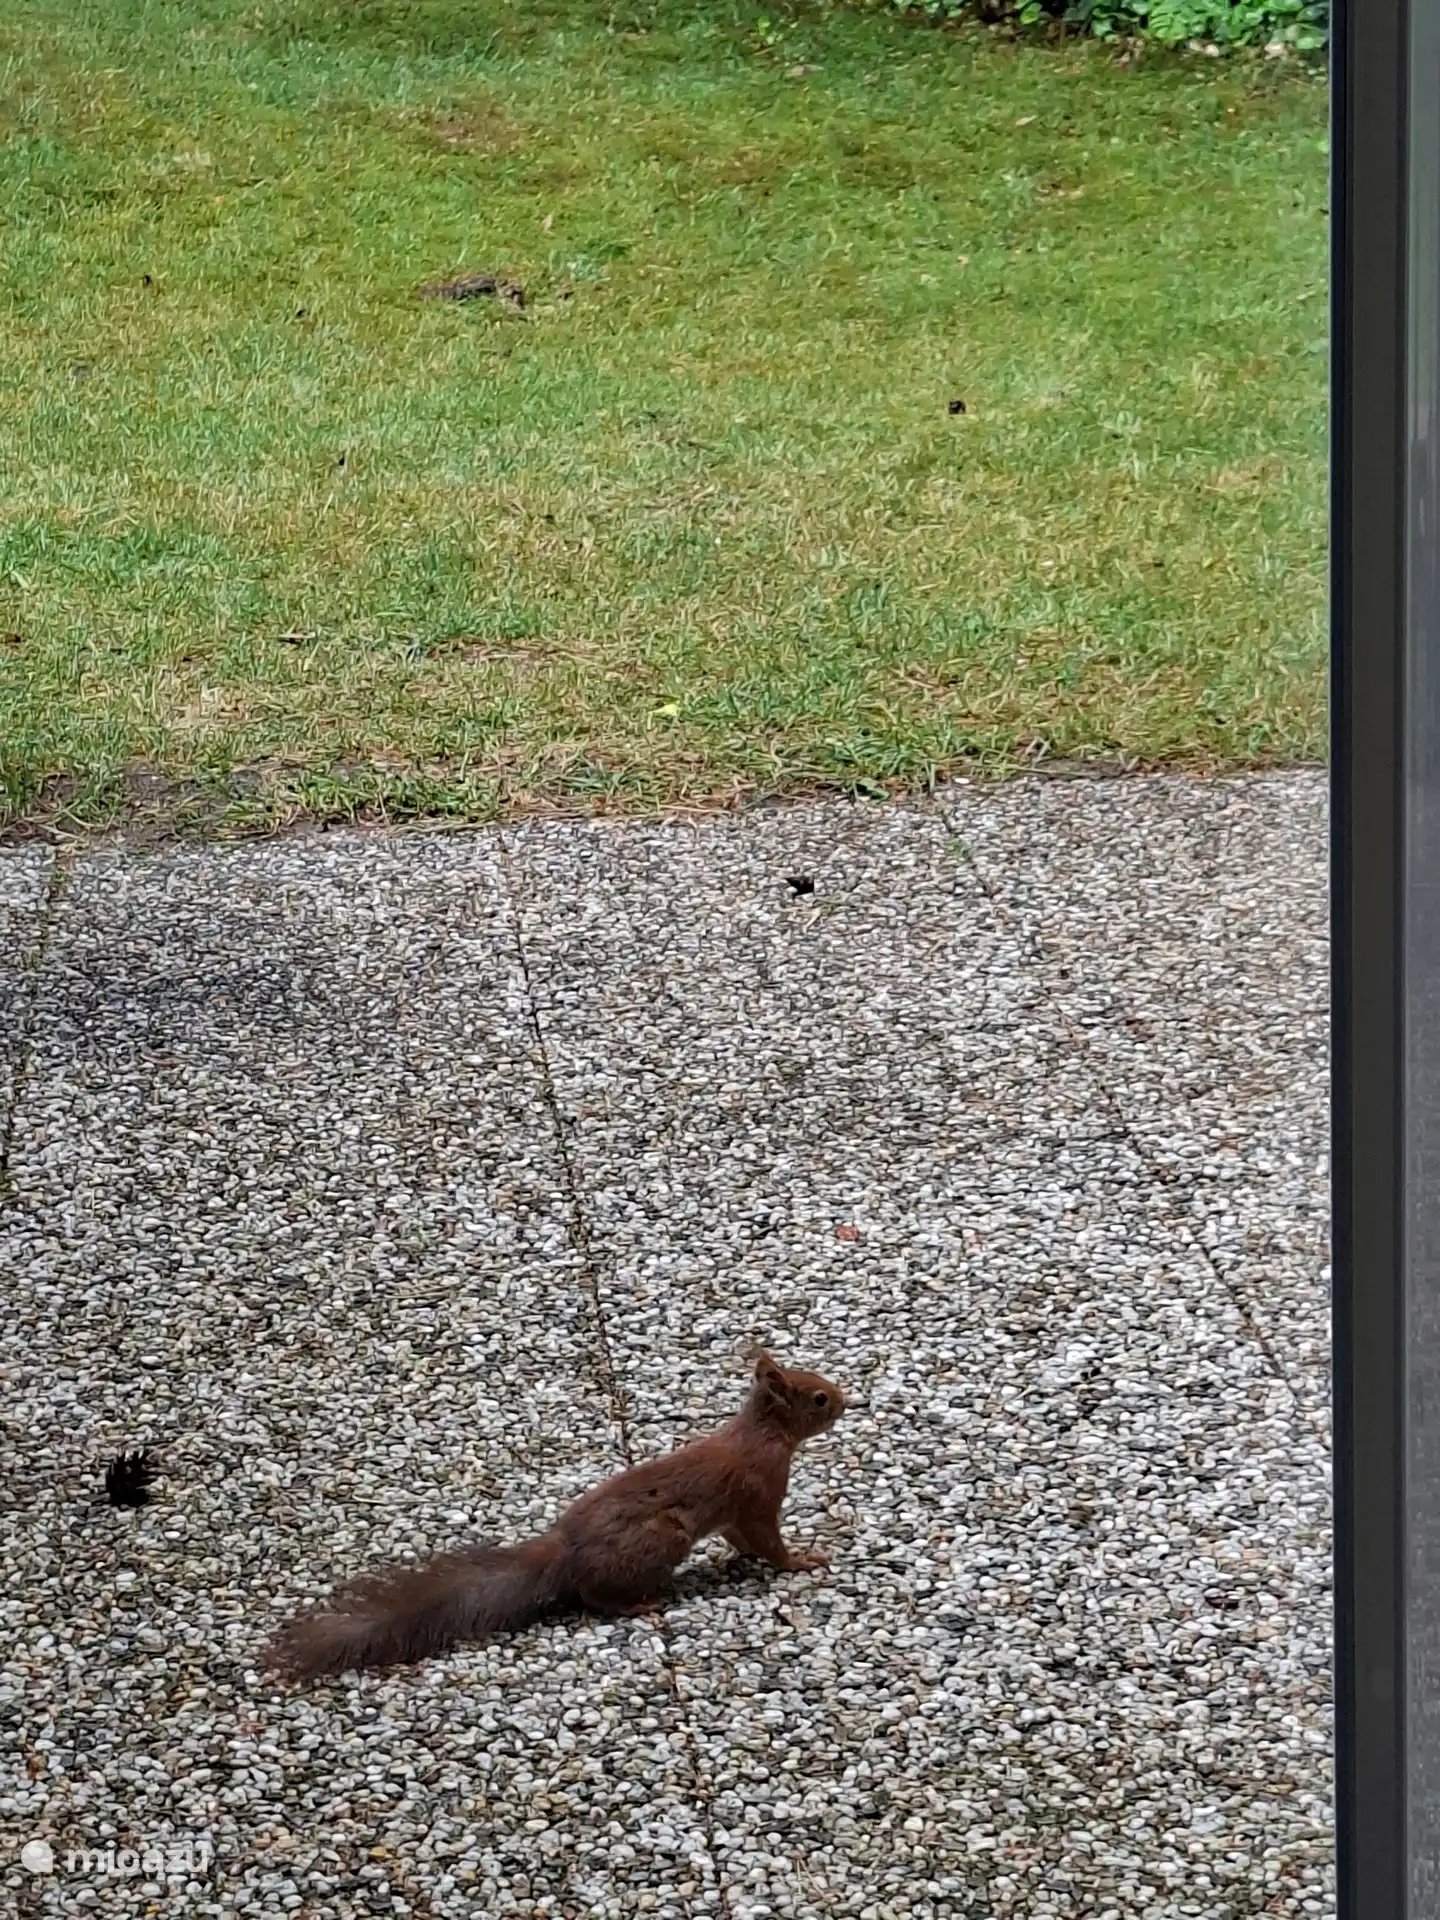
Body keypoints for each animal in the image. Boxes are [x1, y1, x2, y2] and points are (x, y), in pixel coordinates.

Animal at [263, 1350, 845, 1682]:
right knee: (593, 1596)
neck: (763, 1435)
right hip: (663, 1538)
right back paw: (641, 1604)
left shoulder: (736, 1515)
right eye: (818, 1398)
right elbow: (767, 1541)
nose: (845, 1401)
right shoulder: (759, 1492)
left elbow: (742, 1541)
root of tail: (566, 1550)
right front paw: (804, 1560)